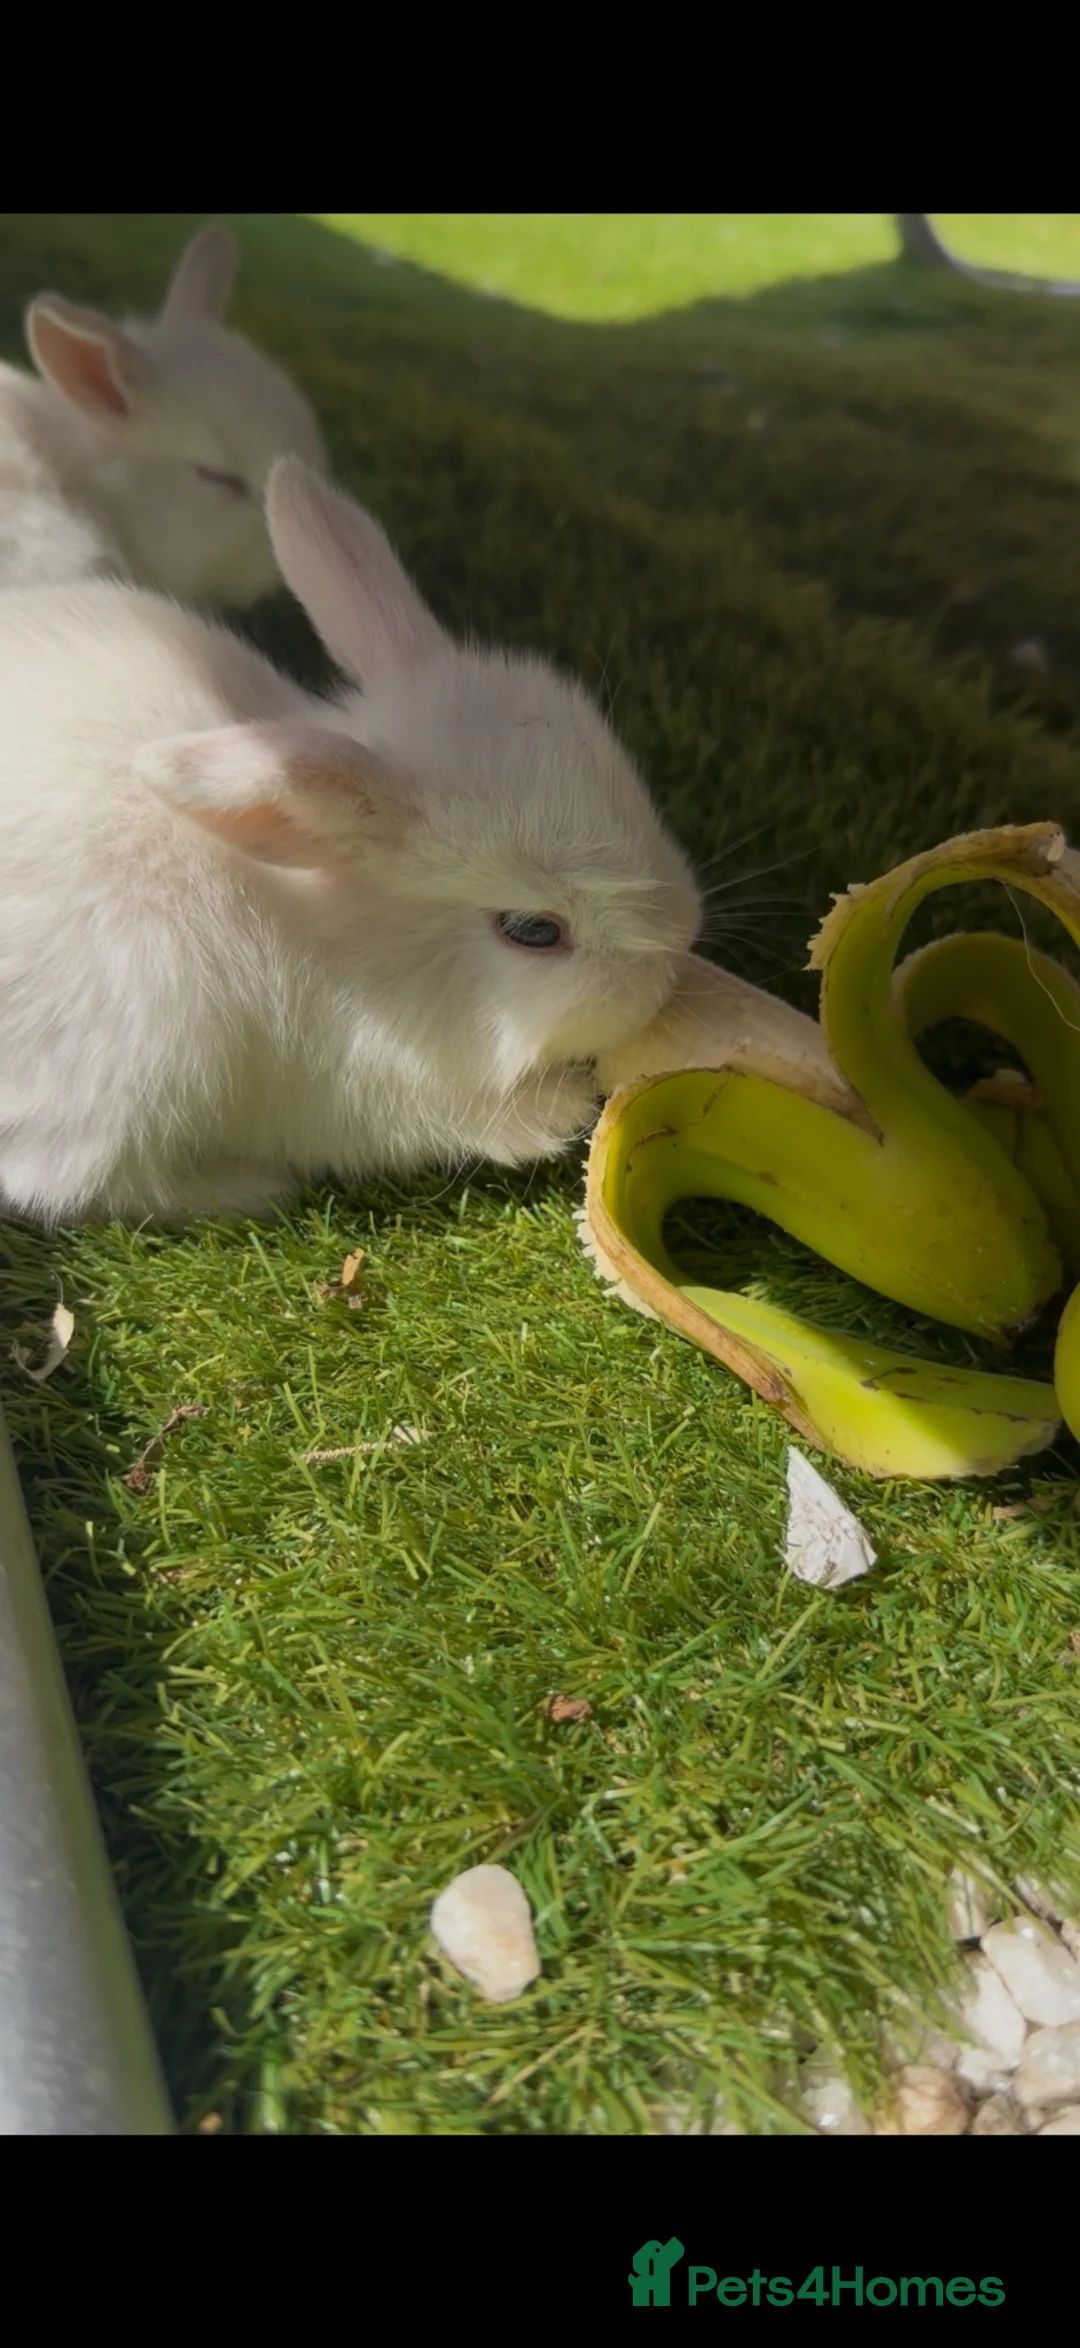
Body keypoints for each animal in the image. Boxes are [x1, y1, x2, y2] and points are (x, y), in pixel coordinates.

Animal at [0, 459, 702, 1229]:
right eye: (532, 930)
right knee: (71, 1179)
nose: (672, 966)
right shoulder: (359, 1091)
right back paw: (247, 1187)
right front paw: (556, 1113)